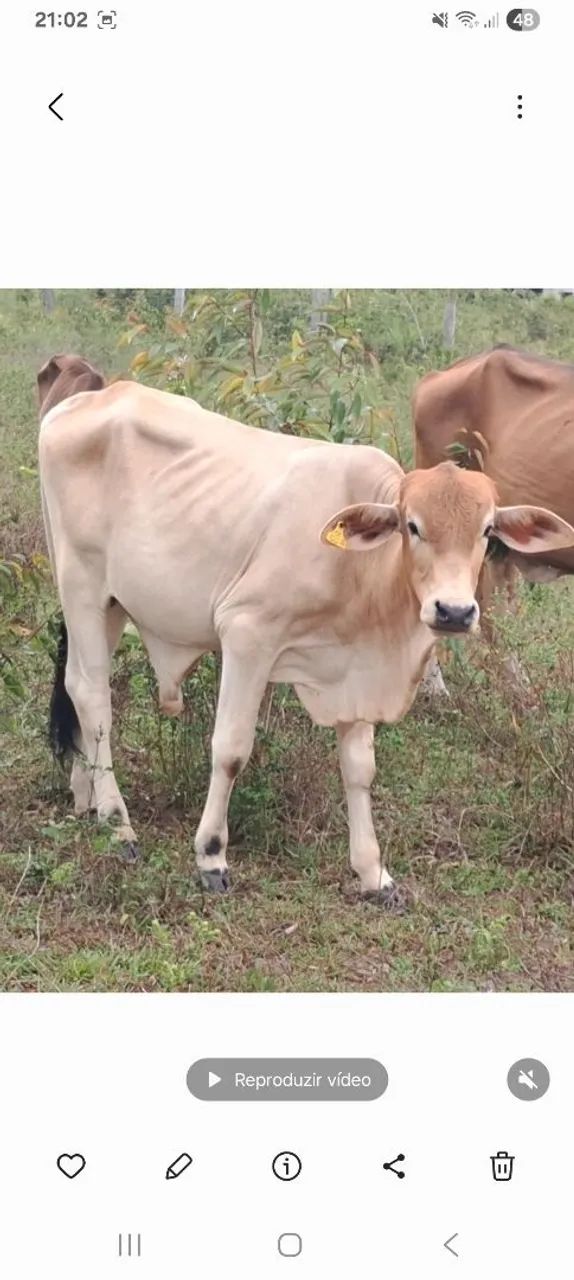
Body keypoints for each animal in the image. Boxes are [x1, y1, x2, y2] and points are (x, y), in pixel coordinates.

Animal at [39, 378, 574, 907]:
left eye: (487, 530)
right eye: (412, 526)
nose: (455, 612)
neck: (359, 569)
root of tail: (85, 400)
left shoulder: (357, 672)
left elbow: (359, 769)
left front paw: (373, 873)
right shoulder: (247, 635)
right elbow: (230, 749)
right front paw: (211, 857)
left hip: (112, 603)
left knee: (77, 687)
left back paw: (86, 797)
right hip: (81, 585)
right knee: (93, 696)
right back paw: (117, 822)